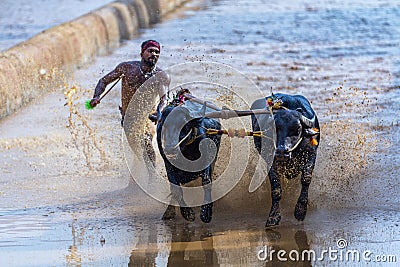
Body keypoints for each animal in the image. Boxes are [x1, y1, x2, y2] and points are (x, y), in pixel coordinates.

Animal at [252, 94, 320, 228]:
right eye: (275, 128)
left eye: (298, 128)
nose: (282, 152)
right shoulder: (270, 161)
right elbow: (276, 189)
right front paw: (273, 217)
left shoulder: (312, 153)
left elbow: (306, 178)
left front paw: (300, 210)